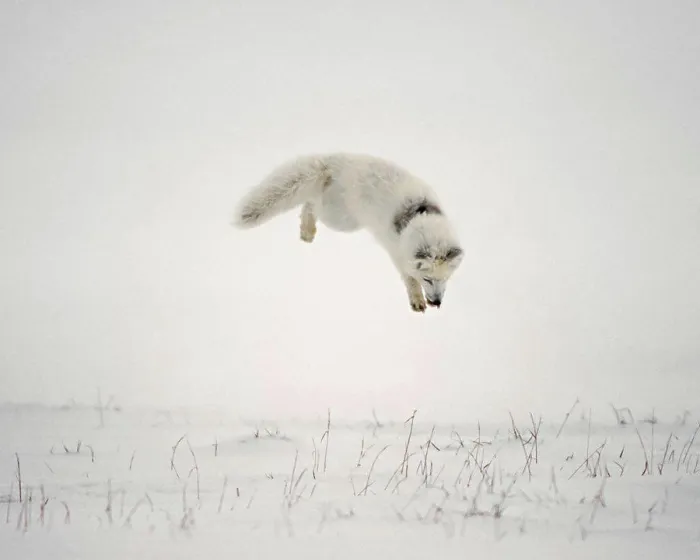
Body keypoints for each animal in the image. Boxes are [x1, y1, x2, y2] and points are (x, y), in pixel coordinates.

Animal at [232, 153, 464, 312]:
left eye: (446, 278)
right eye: (427, 279)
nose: (437, 303)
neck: (420, 215)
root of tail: (337, 162)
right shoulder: (397, 254)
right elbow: (409, 279)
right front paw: (417, 300)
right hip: (339, 219)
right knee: (310, 204)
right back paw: (307, 230)